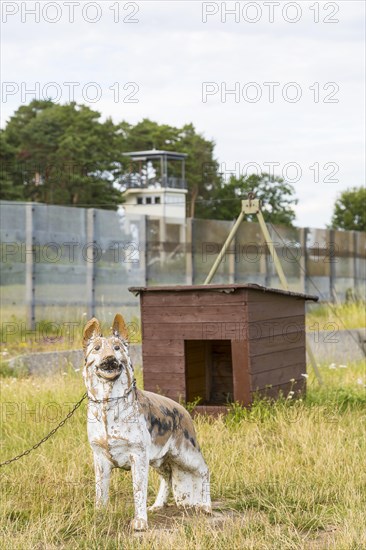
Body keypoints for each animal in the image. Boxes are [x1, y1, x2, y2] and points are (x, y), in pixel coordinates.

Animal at [81, 316, 210, 532]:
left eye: (117, 348)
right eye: (97, 348)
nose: (109, 359)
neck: (109, 403)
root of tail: (183, 411)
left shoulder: (138, 456)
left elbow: (138, 491)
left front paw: (140, 522)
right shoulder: (100, 459)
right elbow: (100, 493)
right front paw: (99, 516)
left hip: (185, 454)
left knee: (204, 470)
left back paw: (207, 507)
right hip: (159, 458)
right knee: (167, 476)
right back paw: (158, 505)